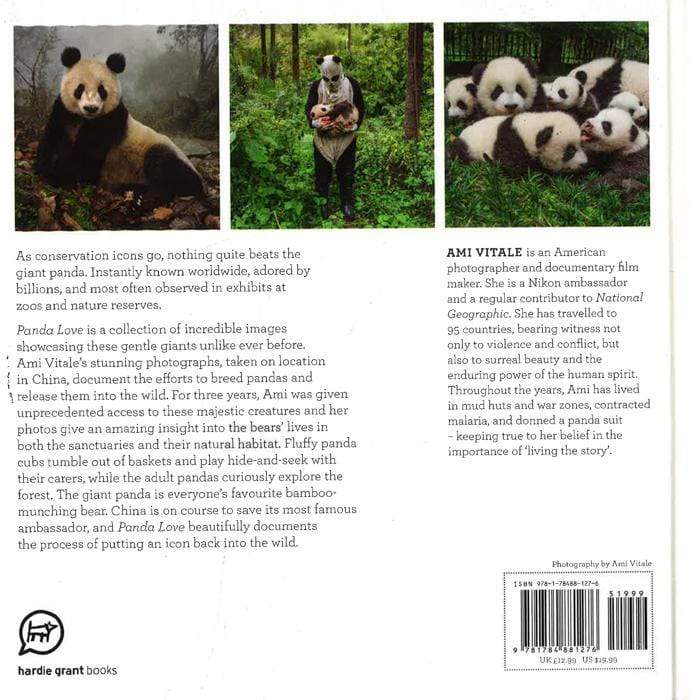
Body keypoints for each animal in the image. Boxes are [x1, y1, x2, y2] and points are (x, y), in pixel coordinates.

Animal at [35, 47, 204, 202]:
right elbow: (52, 139)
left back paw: (146, 197)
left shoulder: (110, 121)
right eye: (80, 88)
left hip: (163, 152)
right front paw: (43, 169)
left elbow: (86, 157)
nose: (91, 108)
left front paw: (59, 177)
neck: (85, 119)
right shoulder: (63, 112)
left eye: (102, 90)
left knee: (163, 167)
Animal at [448, 111, 588, 175]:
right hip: (468, 147)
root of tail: (461, 134)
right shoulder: (511, 144)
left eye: (582, 146)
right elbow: (514, 167)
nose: (585, 163)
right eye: (570, 151)